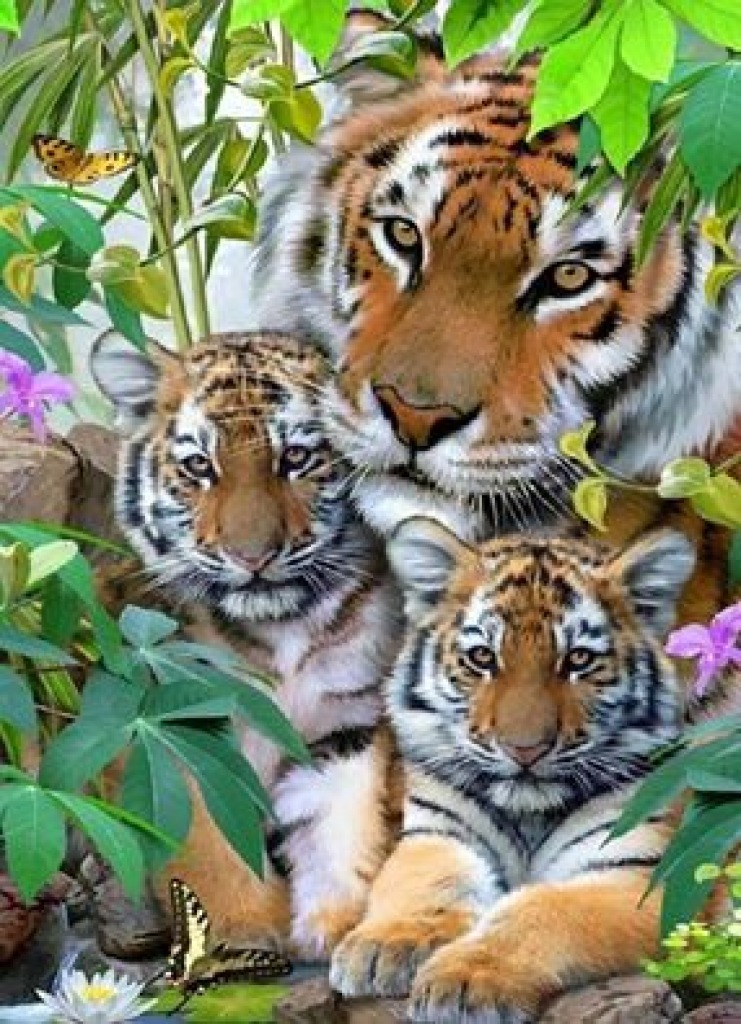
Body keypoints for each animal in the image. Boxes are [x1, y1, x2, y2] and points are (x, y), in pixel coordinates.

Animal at [90, 329, 403, 958]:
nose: (253, 556)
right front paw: (246, 932)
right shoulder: (179, 732)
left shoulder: (345, 724)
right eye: (199, 467)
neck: (280, 629)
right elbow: (208, 844)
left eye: (297, 458)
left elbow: (337, 824)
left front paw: (333, 924)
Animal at [330, 516, 695, 1022]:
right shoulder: (438, 833)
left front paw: (465, 980)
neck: (528, 813)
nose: (525, 750)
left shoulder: (637, 875)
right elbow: (429, 882)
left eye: (578, 659)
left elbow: (542, 910)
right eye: (483, 657)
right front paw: (385, 946)